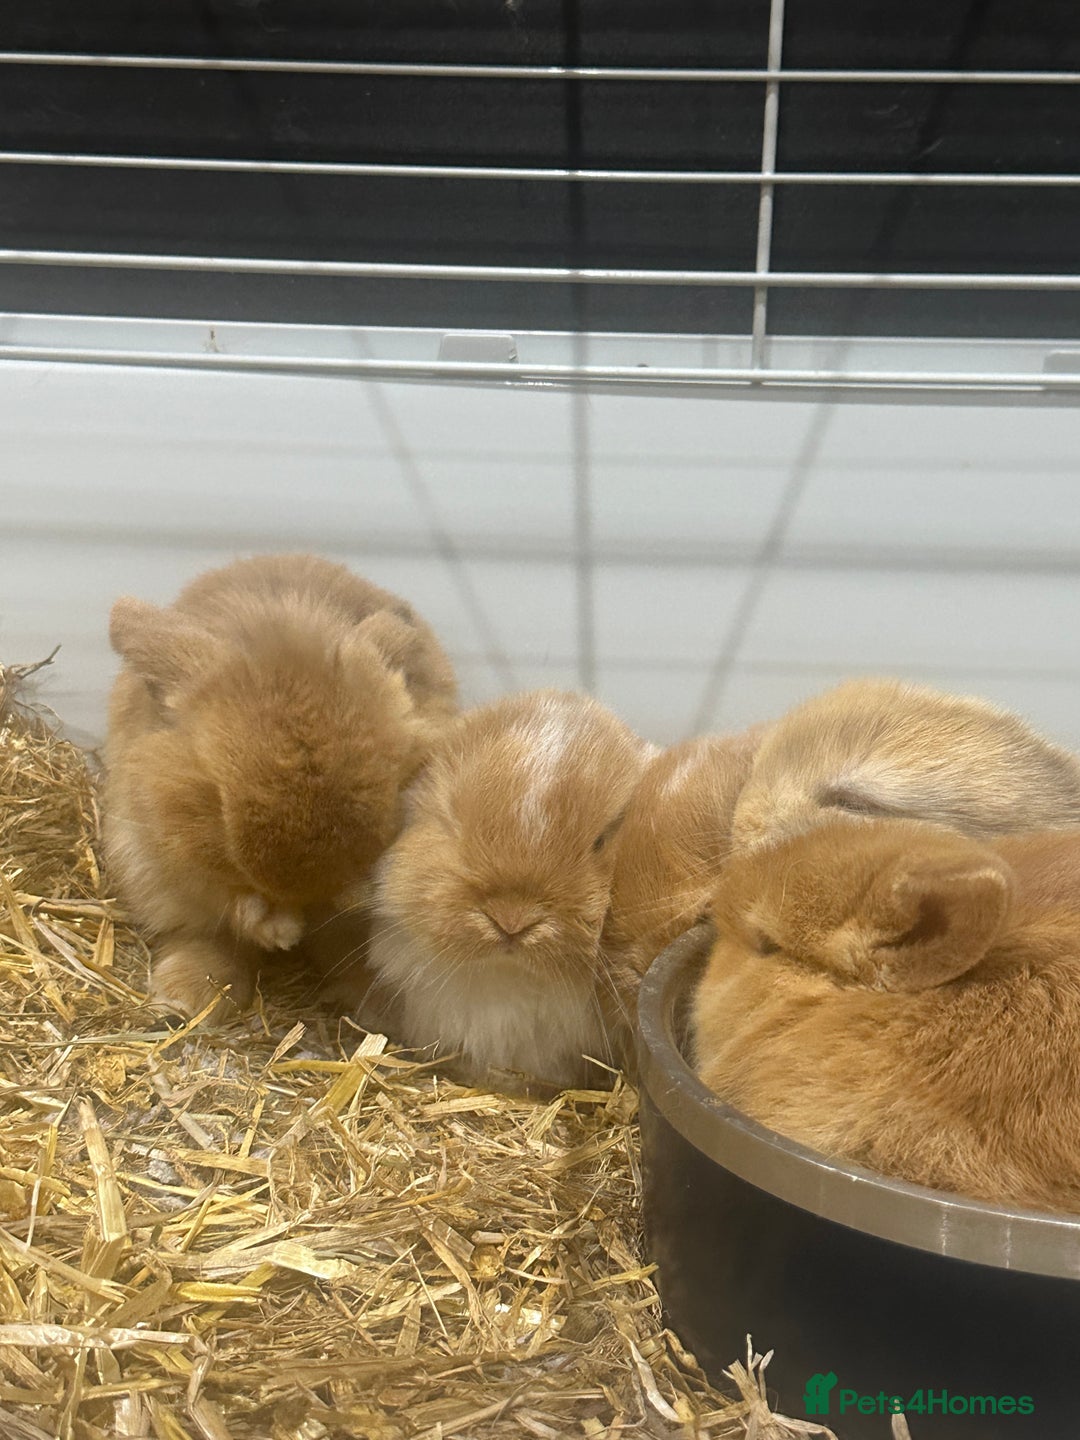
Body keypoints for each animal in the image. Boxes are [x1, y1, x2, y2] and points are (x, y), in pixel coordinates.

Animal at [103, 553, 457, 1017]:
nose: (300, 889)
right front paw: (280, 931)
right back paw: (184, 999)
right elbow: (231, 904)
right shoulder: (181, 862)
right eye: (216, 798)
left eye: (392, 782)